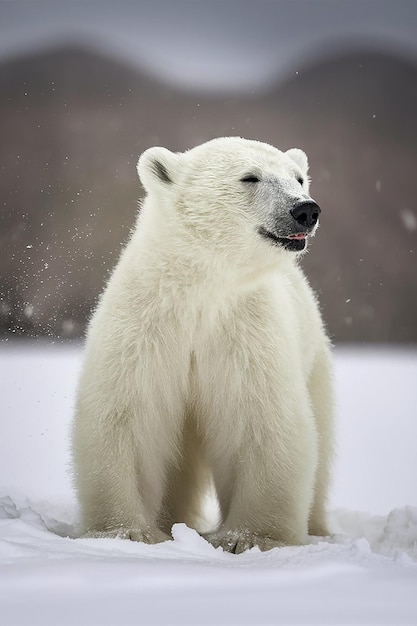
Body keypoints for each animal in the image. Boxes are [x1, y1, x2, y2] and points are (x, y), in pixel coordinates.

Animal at [71, 135, 332, 552]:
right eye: (250, 177)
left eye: (299, 178)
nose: (305, 209)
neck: (201, 284)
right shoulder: (144, 325)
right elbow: (129, 416)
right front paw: (127, 533)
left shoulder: (246, 331)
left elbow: (261, 421)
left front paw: (248, 539)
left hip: (315, 363)